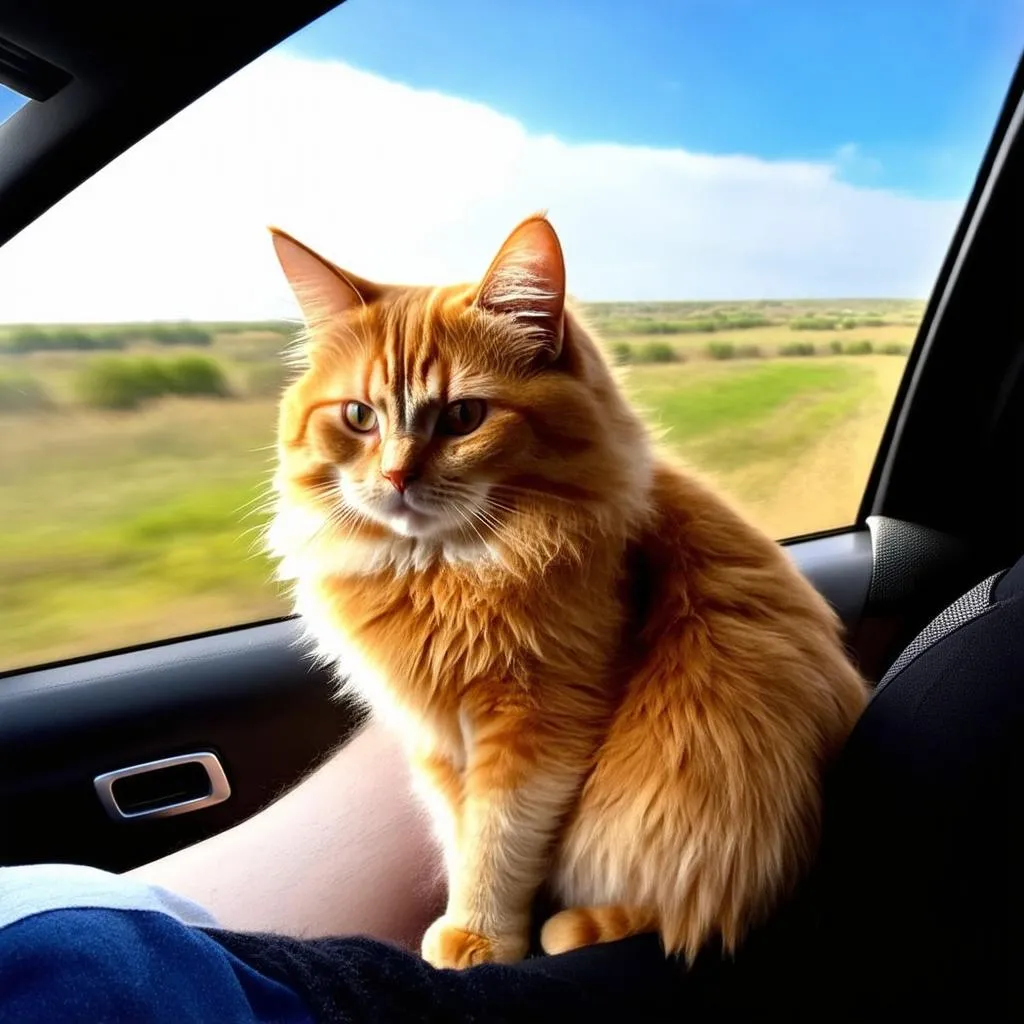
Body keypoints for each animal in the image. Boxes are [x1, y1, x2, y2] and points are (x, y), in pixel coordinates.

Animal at [268, 214, 868, 966]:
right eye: (358, 417)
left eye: (463, 417)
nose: (397, 476)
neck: (440, 573)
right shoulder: (435, 739)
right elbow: (459, 832)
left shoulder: (538, 725)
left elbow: (496, 845)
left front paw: (480, 936)